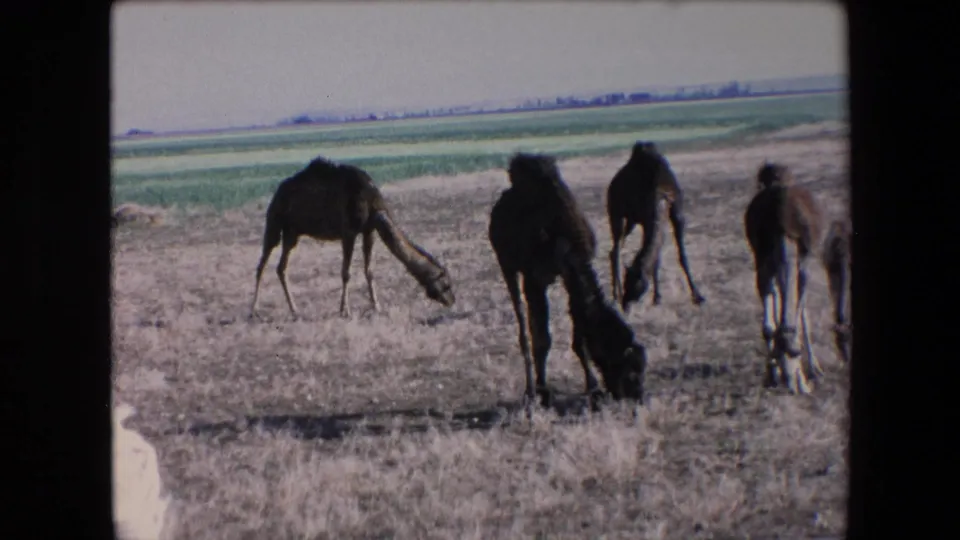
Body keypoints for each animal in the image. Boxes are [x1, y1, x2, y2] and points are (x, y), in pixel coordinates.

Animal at [249, 156, 455, 319]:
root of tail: (277, 192)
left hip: (292, 232)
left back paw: (294, 310)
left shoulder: (368, 231)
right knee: (262, 263)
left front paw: (376, 306)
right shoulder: (348, 231)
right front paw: (345, 310)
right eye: (446, 284)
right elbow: (346, 273)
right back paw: (253, 311)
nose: (452, 300)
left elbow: (369, 270)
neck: (373, 205)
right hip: (275, 221)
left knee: (281, 267)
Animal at [488, 153, 647, 410]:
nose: (638, 396)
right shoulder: (535, 277)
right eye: (628, 372)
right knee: (523, 325)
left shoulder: (568, 274)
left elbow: (579, 335)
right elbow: (542, 339)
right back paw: (530, 390)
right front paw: (543, 393)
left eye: (641, 368)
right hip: (507, 264)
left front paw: (593, 388)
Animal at [607, 141, 706, 314]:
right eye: (627, 283)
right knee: (616, 248)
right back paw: (614, 297)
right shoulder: (647, 219)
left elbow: (679, 256)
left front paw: (697, 295)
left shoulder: (677, 216)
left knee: (614, 250)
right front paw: (657, 297)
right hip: (616, 212)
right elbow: (656, 258)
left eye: (636, 286)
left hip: (631, 220)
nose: (625, 305)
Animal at [744, 162, 826, 394]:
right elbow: (771, 325)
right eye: (783, 355)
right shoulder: (764, 261)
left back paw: (815, 368)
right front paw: (773, 375)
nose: (791, 384)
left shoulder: (803, 258)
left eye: (792, 354)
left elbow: (794, 314)